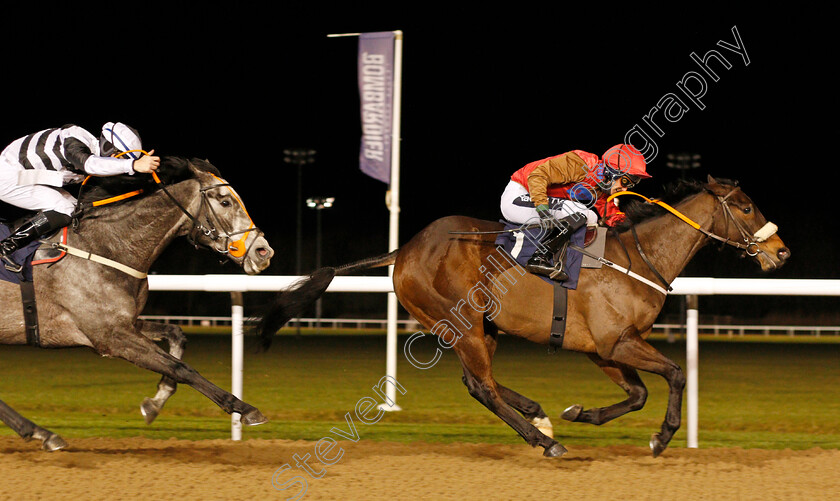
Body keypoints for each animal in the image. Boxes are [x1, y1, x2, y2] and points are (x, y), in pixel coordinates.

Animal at [0, 156, 274, 450]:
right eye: (225, 201)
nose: (263, 251)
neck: (105, 247)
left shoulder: (127, 323)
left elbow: (176, 335)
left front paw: (156, 401)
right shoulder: (110, 337)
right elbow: (181, 368)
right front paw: (246, 409)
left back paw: (41, 433)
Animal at [260, 176, 788, 458]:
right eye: (745, 206)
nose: (781, 252)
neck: (639, 258)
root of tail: (404, 249)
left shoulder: (604, 349)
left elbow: (637, 394)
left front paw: (581, 413)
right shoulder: (616, 341)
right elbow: (676, 374)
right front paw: (661, 439)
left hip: (476, 327)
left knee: (478, 381)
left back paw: (539, 414)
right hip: (463, 324)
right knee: (482, 388)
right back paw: (542, 439)